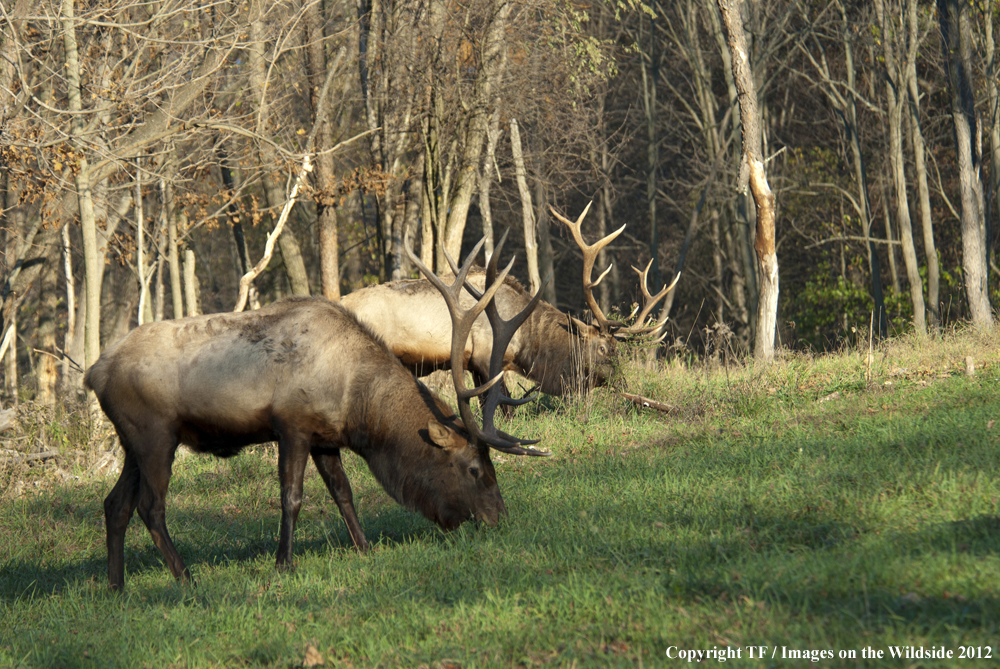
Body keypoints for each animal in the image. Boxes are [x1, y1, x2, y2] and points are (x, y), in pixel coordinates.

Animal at [84, 237, 548, 588]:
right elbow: (292, 497)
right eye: (474, 468)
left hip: (131, 442)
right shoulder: (293, 425)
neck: (356, 405)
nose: (499, 519)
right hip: (155, 435)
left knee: (114, 504)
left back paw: (116, 585)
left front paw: (364, 546)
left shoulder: (327, 439)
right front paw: (283, 563)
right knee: (150, 506)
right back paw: (185, 576)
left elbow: (344, 493)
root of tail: (94, 373)